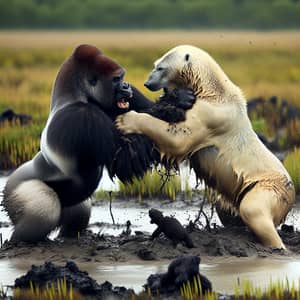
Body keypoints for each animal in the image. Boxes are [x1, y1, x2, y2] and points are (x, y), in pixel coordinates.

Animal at [1, 44, 195, 241]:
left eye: (122, 78)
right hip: (14, 191)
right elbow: (127, 158)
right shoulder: (83, 116)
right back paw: (20, 241)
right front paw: (173, 104)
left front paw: (173, 101)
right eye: (116, 79)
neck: (76, 94)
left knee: (79, 211)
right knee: (45, 209)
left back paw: (71, 236)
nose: (126, 85)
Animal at [116, 44, 296, 250]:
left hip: (270, 188)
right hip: (240, 190)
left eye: (160, 68)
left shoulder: (212, 114)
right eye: (155, 64)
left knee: (254, 210)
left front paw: (125, 120)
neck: (213, 89)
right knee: (227, 206)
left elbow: (179, 139)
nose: (147, 83)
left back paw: (276, 245)